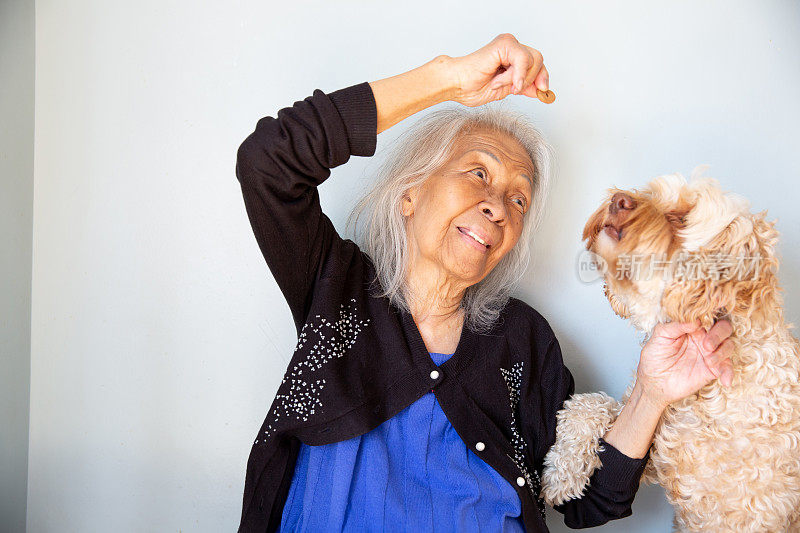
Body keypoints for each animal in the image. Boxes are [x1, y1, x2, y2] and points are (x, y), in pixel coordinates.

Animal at [540, 167, 796, 532]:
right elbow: (589, 404)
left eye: (680, 218)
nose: (618, 199)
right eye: (652, 195)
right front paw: (562, 472)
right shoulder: (657, 443)